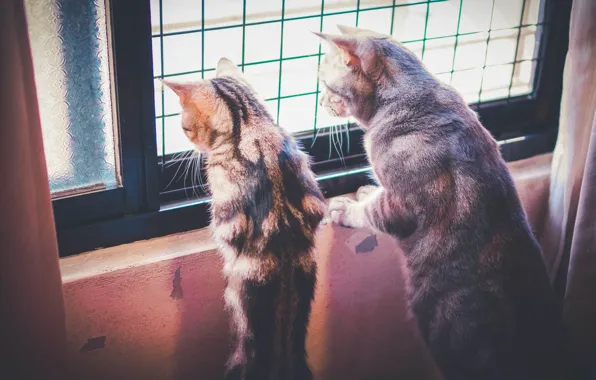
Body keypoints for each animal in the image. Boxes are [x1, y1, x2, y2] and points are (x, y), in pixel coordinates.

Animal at [314, 25, 564, 380]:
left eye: (324, 84)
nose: (321, 101)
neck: (411, 101)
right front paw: (367, 191)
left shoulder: (402, 205)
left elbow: (372, 213)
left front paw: (348, 208)